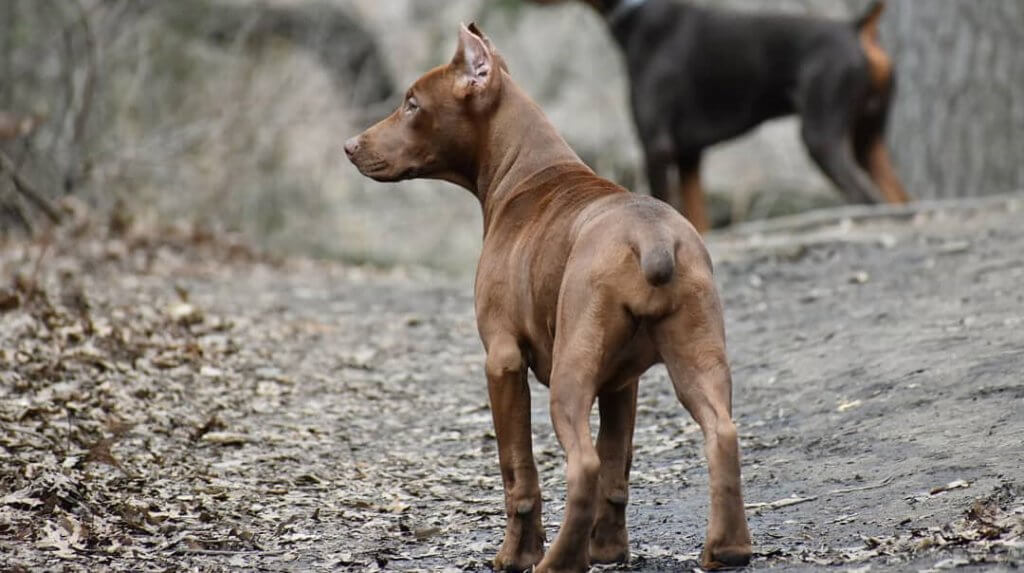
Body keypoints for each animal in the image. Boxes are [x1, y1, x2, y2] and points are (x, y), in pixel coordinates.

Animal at [344, 23, 753, 573]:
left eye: (411, 103)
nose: (349, 145)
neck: (529, 170)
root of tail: (652, 237)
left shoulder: (502, 361)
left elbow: (518, 471)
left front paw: (515, 554)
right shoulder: (622, 383)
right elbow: (617, 467)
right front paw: (608, 551)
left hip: (570, 373)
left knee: (582, 464)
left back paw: (557, 560)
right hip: (697, 360)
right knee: (720, 435)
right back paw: (727, 549)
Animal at [532, 0, 909, 233]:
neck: (640, 16)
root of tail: (855, 28)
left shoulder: (657, 147)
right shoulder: (689, 157)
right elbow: (699, 223)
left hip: (821, 138)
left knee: (867, 199)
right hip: (868, 141)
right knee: (898, 198)